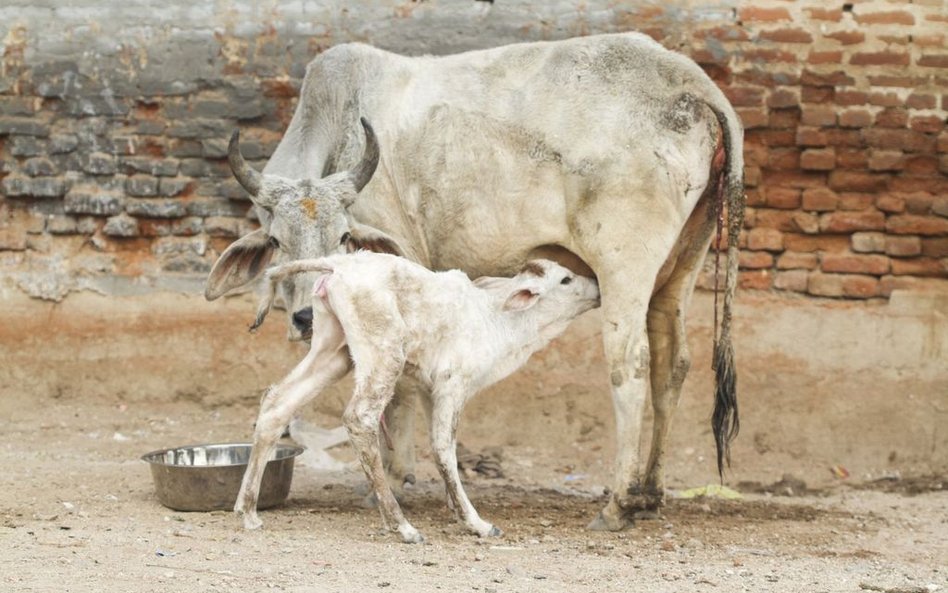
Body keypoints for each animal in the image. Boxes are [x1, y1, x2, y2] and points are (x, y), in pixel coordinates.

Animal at [232, 250, 596, 540]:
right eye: (565, 279)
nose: (596, 284)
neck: (498, 320)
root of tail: (338, 264)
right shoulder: (453, 383)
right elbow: (443, 448)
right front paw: (475, 522)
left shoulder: (429, 388)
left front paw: (455, 509)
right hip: (383, 351)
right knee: (359, 418)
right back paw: (401, 525)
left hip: (333, 351)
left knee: (278, 401)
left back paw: (248, 511)